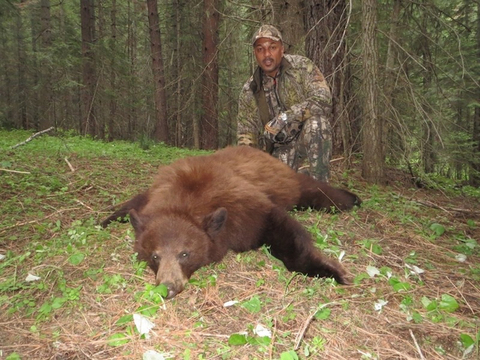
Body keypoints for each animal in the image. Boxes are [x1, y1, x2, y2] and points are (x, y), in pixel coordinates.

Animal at [103, 146, 362, 298]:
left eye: (184, 254)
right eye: (155, 256)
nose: (167, 288)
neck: (186, 198)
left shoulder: (245, 209)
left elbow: (281, 228)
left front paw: (329, 270)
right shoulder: (154, 194)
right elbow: (132, 205)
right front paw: (107, 219)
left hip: (289, 183)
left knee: (315, 191)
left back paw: (352, 198)